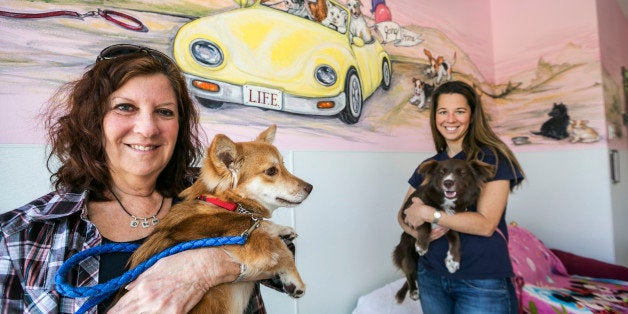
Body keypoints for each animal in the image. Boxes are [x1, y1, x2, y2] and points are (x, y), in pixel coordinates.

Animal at [115, 125, 312, 314]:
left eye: (284, 166)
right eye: (271, 171)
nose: (310, 187)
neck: (228, 205)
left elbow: (264, 225)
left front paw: (283, 229)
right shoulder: (243, 241)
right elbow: (279, 246)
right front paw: (296, 281)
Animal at [392, 158, 490, 302]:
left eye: (462, 173)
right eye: (442, 172)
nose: (448, 182)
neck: (446, 203)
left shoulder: (450, 225)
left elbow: (456, 240)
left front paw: (453, 261)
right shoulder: (409, 212)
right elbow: (424, 222)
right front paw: (422, 245)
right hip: (407, 253)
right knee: (409, 272)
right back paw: (413, 290)